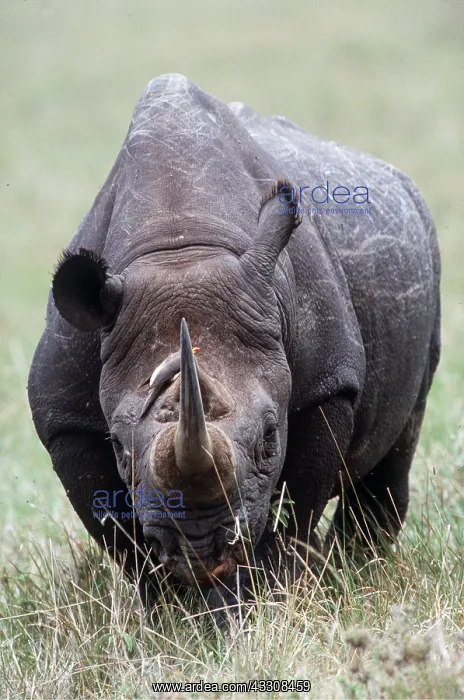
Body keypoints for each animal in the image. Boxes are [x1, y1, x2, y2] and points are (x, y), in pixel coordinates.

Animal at [28, 74, 440, 598]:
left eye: (269, 437)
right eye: (119, 447)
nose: (201, 549)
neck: (178, 247)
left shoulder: (328, 384)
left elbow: (294, 508)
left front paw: (264, 596)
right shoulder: (65, 417)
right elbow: (116, 532)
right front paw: (173, 608)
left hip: (423, 243)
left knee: (401, 436)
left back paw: (357, 569)